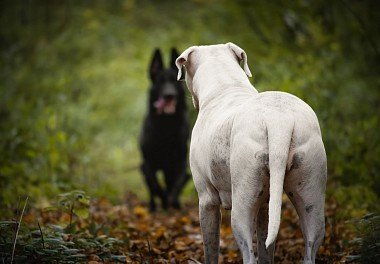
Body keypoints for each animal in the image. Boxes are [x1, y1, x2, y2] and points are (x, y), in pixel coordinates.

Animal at [140, 48, 190, 210]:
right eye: (160, 82)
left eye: (175, 81)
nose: (169, 95)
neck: (166, 126)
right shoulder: (148, 164)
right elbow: (155, 185)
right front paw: (163, 200)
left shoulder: (180, 163)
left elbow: (177, 185)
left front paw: (172, 202)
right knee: (151, 189)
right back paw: (154, 207)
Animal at [175, 42, 326, 262]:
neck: (226, 87)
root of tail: (278, 119)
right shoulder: (265, 206)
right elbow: (265, 247)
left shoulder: (207, 201)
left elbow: (210, 249)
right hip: (310, 199)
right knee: (310, 246)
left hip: (241, 208)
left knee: (248, 252)